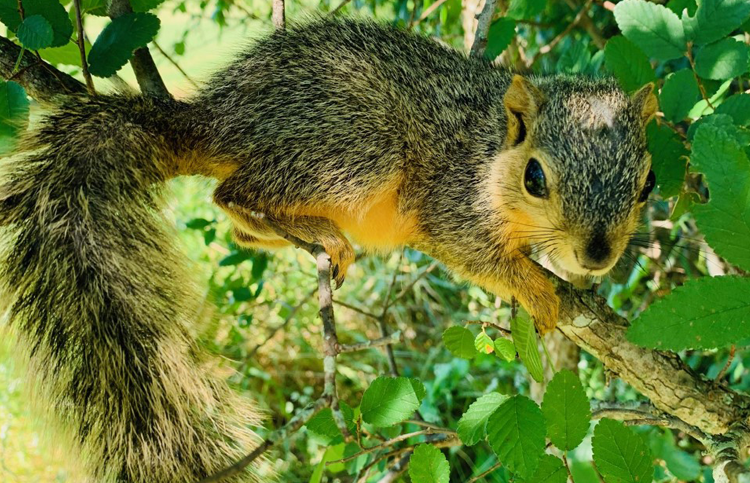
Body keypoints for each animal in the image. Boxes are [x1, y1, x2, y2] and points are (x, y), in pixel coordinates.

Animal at [0, 16, 657, 483]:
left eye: (649, 183)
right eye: (535, 179)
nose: (597, 255)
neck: (490, 148)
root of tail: (215, 121)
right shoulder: (450, 200)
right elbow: (473, 251)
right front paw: (537, 288)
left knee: (238, 224)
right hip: (355, 149)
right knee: (233, 192)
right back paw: (313, 230)